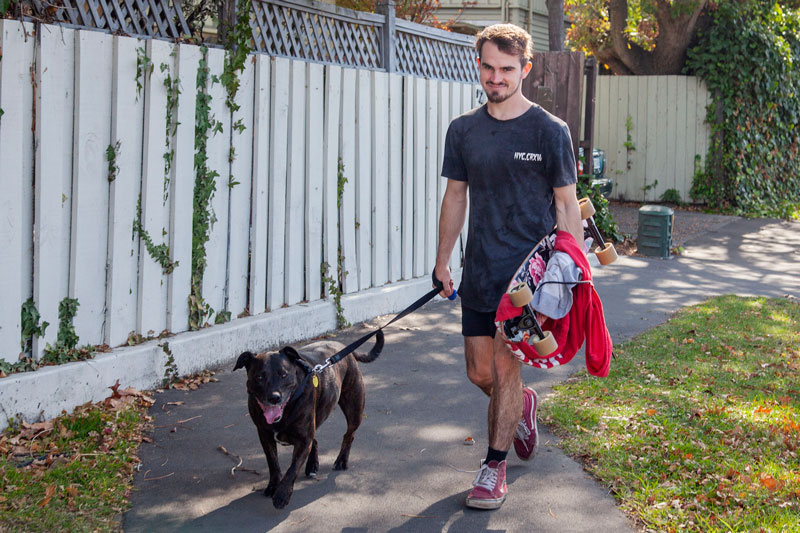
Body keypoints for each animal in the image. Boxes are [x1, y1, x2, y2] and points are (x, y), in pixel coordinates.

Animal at [233, 328, 382, 508]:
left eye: (284, 375)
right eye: (259, 377)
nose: (274, 397)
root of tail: (344, 349)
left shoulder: (303, 440)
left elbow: (292, 468)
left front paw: (282, 495)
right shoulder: (265, 435)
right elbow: (273, 463)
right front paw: (273, 486)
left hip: (354, 409)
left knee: (349, 435)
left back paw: (341, 460)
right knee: (316, 439)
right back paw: (312, 464)